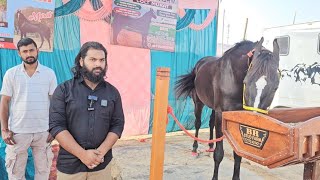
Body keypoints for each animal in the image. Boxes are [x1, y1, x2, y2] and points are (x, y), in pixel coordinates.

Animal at [175, 37, 280, 179]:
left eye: (275, 87)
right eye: (246, 82)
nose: (254, 119)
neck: (233, 76)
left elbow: (238, 154)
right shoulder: (222, 113)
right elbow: (219, 154)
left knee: (211, 123)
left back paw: (210, 145)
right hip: (199, 102)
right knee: (197, 123)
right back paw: (195, 148)